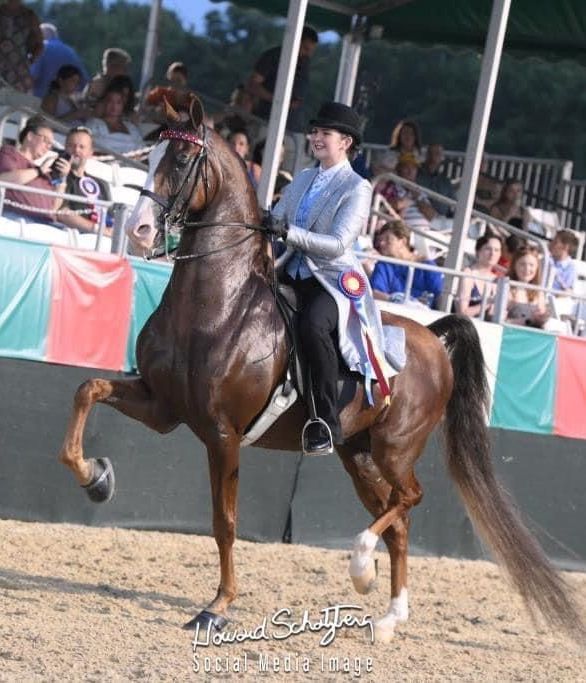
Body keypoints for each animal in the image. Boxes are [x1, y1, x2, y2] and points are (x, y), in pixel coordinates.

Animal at [58, 95, 580, 640]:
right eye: (152, 155)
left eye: (181, 161)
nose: (137, 231)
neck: (217, 307)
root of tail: (432, 339)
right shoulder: (163, 407)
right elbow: (87, 389)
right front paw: (96, 478)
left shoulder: (222, 434)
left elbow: (225, 522)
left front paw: (218, 607)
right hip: (358, 454)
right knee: (397, 520)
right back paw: (389, 615)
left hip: (395, 449)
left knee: (408, 500)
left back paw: (362, 566)